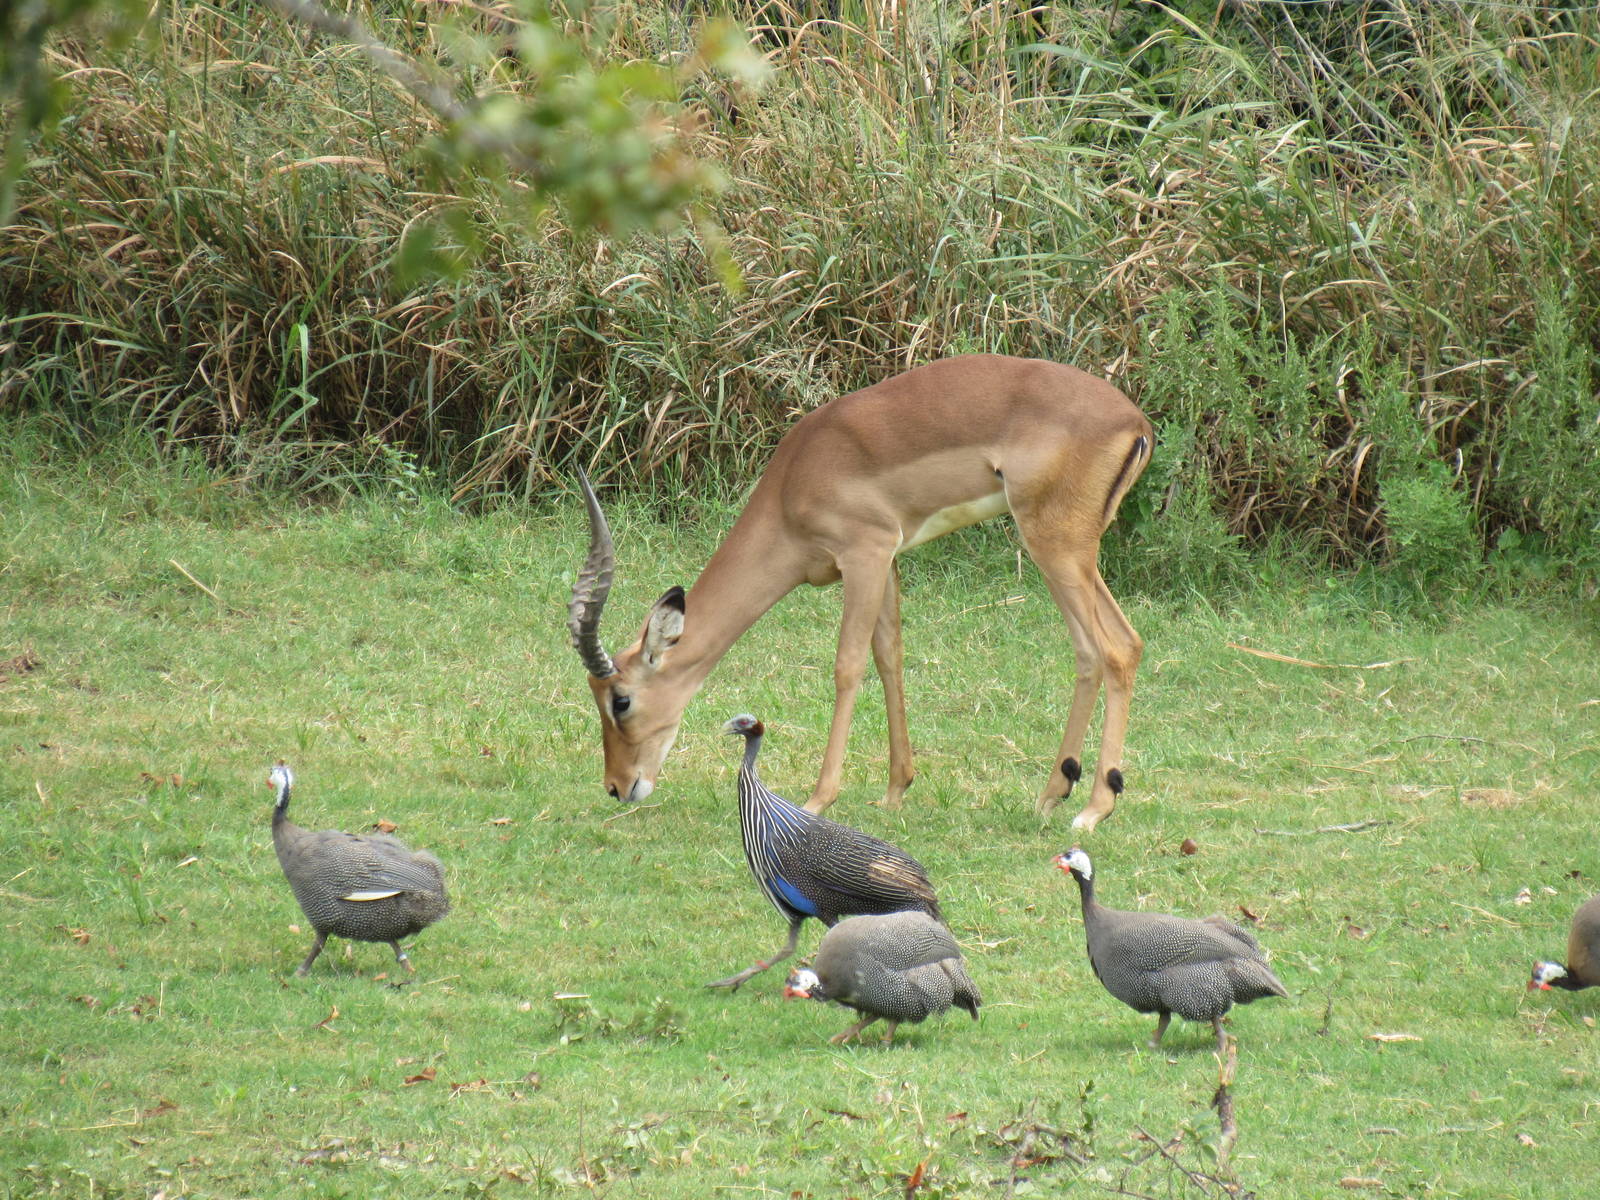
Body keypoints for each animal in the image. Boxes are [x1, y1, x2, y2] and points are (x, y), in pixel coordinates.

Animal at [567, 354, 1153, 830]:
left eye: (621, 700)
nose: (618, 786)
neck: (793, 485)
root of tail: (1136, 422)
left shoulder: (864, 554)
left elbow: (848, 665)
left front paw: (818, 799)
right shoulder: (888, 560)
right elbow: (889, 656)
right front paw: (895, 791)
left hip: (1055, 546)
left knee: (1119, 647)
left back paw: (1094, 808)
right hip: (1066, 553)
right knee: (1092, 652)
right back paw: (1053, 794)